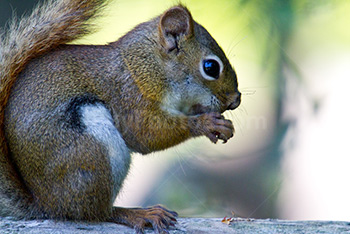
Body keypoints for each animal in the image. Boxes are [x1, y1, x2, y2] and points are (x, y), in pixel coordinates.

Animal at [0, 0, 241, 234]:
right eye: (211, 67)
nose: (236, 101)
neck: (145, 68)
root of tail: (46, 205)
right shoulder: (129, 97)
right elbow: (146, 134)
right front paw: (205, 123)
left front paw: (221, 125)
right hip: (92, 152)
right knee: (94, 214)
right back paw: (135, 213)